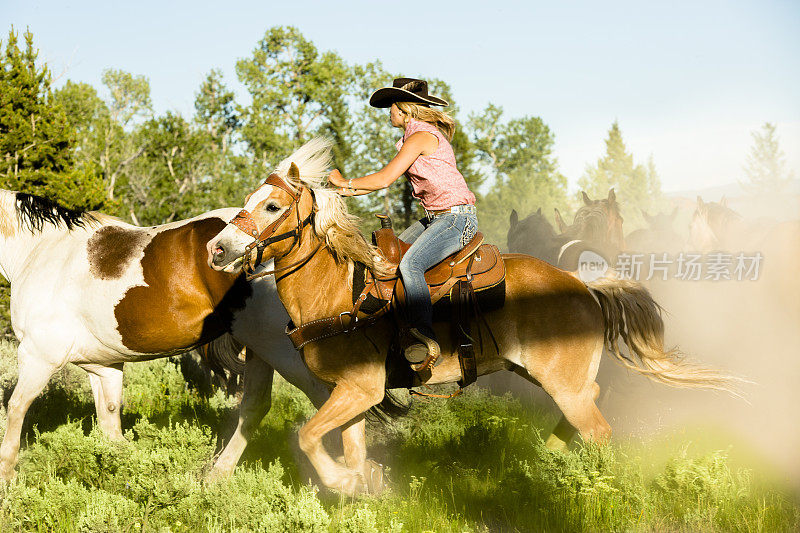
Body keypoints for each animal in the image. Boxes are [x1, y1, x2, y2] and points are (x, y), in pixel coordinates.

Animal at [0, 189, 332, 480]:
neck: (40, 251)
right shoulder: (103, 367)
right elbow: (111, 426)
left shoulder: (39, 356)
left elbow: (15, 410)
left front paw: (7, 475)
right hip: (260, 349)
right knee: (255, 407)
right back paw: (217, 477)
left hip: (283, 351)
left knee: (326, 399)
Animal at [206, 139, 736, 496]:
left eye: (272, 204)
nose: (217, 248)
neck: (339, 291)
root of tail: (581, 282)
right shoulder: (353, 390)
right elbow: (342, 442)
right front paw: (362, 487)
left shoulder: (360, 388)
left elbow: (308, 436)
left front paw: (342, 484)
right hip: (545, 375)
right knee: (589, 405)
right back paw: (548, 458)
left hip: (561, 382)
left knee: (598, 430)